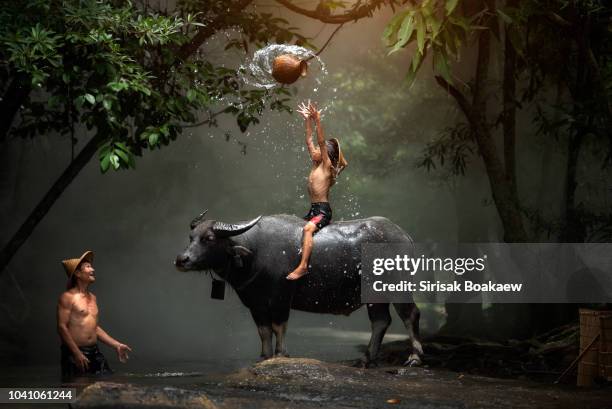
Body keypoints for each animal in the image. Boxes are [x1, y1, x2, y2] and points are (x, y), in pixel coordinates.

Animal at [175, 212, 424, 364]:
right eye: (191, 236)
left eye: (209, 238)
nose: (182, 259)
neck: (254, 254)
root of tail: (405, 236)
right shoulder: (256, 304)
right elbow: (264, 331)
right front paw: (264, 357)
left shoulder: (281, 299)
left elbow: (278, 327)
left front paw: (281, 354)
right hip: (373, 295)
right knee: (381, 320)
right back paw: (366, 359)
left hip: (397, 286)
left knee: (409, 314)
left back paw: (414, 357)